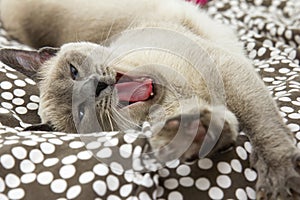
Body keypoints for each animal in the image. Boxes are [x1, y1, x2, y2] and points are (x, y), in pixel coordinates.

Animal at [0, 0, 300, 198]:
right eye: (82, 114)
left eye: (74, 72)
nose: (97, 87)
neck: (170, 95)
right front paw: (192, 133)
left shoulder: (226, 70)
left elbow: (263, 127)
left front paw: (279, 177)